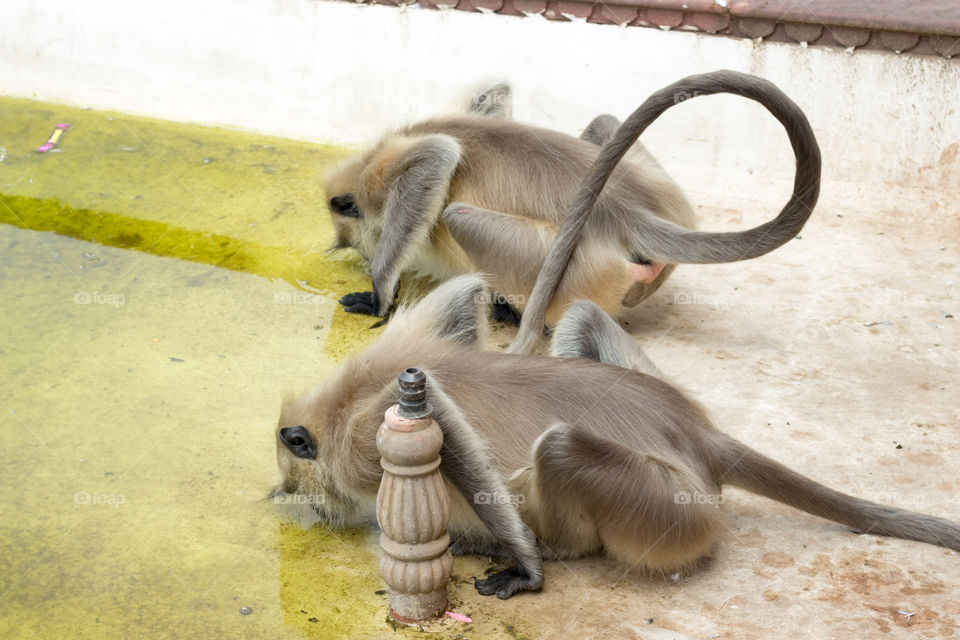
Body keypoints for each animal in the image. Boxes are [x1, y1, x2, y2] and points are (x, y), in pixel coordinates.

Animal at [272, 276, 960, 600]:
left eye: (291, 469)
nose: (288, 494)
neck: (341, 402)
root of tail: (699, 434)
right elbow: (467, 291)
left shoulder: (365, 439)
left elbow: (432, 403)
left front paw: (527, 568)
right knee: (579, 313)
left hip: (674, 512)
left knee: (558, 449)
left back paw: (545, 549)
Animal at [326, 72, 820, 328]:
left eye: (356, 244)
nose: (362, 257)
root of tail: (631, 214)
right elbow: (495, 89)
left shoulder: (383, 174)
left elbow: (438, 156)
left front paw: (380, 295)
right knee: (603, 122)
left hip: (575, 267)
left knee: (459, 216)